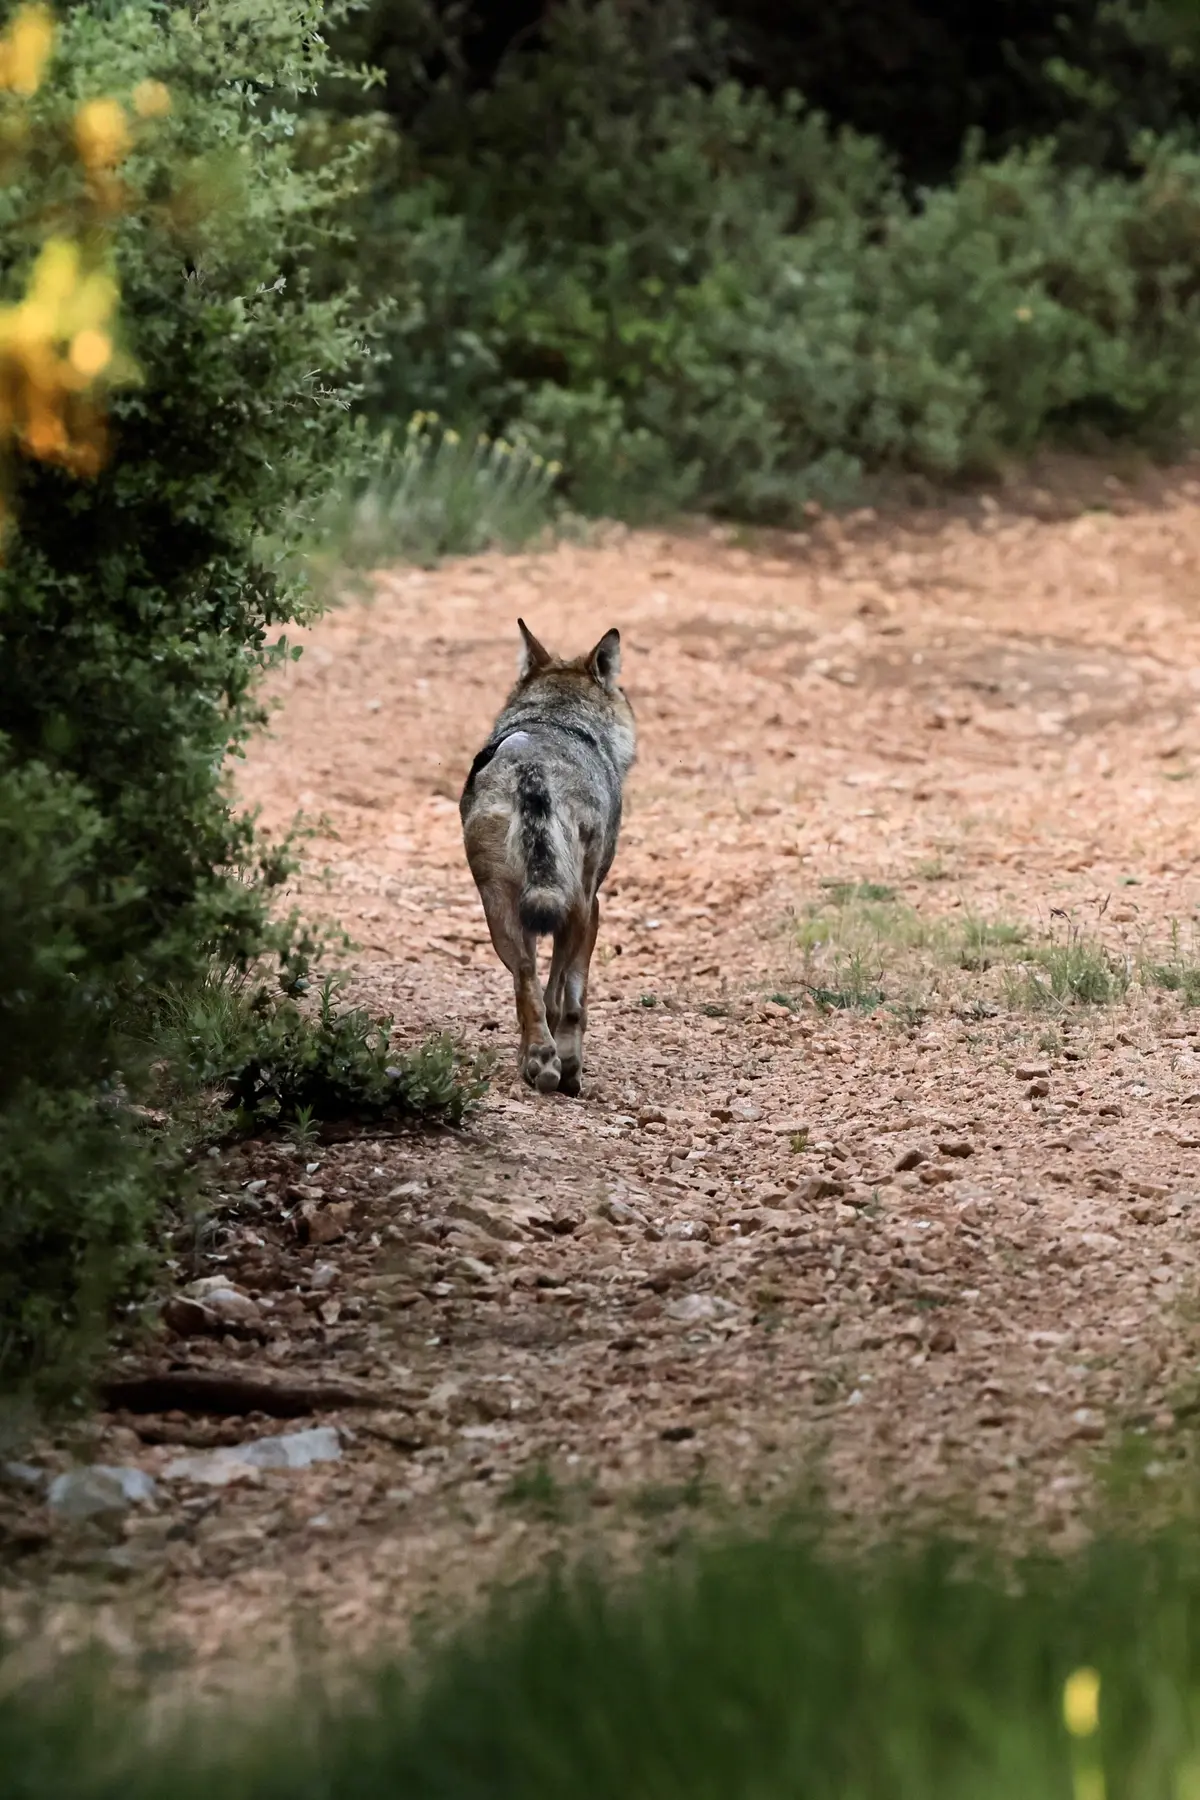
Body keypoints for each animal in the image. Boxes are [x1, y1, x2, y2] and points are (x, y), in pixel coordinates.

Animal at [460, 619, 636, 1097]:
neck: (555, 718)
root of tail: (531, 769)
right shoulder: (593, 906)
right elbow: (571, 997)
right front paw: (569, 1065)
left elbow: (537, 990)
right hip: (575, 906)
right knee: (559, 998)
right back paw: (562, 1068)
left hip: (499, 909)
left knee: (525, 982)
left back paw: (538, 1059)